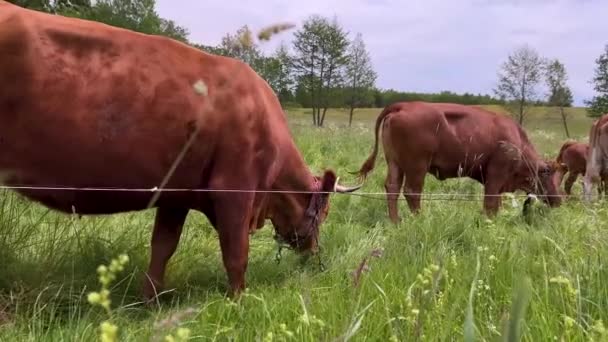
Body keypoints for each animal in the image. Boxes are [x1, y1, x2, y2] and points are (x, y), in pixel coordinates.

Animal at [0, 2, 360, 302]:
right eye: (325, 212)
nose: (313, 254)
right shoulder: (233, 190)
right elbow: (236, 253)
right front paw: (239, 302)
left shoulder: (176, 195)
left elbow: (163, 247)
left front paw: (149, 301)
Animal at [356, 101, 560, 222]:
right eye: (548, 173)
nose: (558, 200)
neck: (516, 140)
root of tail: (403, 105)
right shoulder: (495, 177)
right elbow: (490, 203)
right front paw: (489, 222)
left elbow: (496, 203)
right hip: (417, 167)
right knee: (412, 192)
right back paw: (420, 219)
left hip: (395, 164)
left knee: (392, 188)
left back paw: (395, 221)